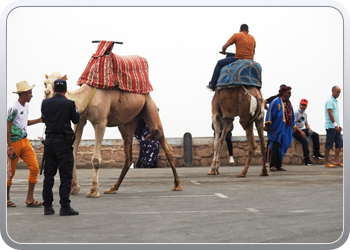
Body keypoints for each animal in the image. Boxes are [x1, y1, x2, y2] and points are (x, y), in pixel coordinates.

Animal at [43, 72, 183, 197]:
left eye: (57, 82)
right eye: (44, 83)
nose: (47, 93)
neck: (87, 96)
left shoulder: (100, 122)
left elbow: (95, 159)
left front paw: (93, 191)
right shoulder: (80, 120)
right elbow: (72, 153)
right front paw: (75, 188)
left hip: (149, 107)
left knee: (163, 141)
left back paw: (177, 185)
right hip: (128, 122)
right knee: (128, 156)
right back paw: (113, 188)